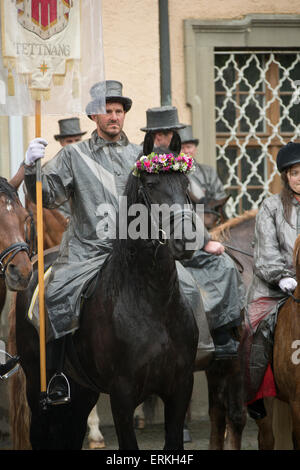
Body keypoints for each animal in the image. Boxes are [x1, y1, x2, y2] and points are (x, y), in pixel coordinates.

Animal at [12, 134, 199, 450]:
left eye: (185, 182)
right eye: (151, 184)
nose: (185, 240)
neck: (154, 301)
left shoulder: (180, 388)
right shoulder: (122, 395)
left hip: (82, 393)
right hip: (38, 389)